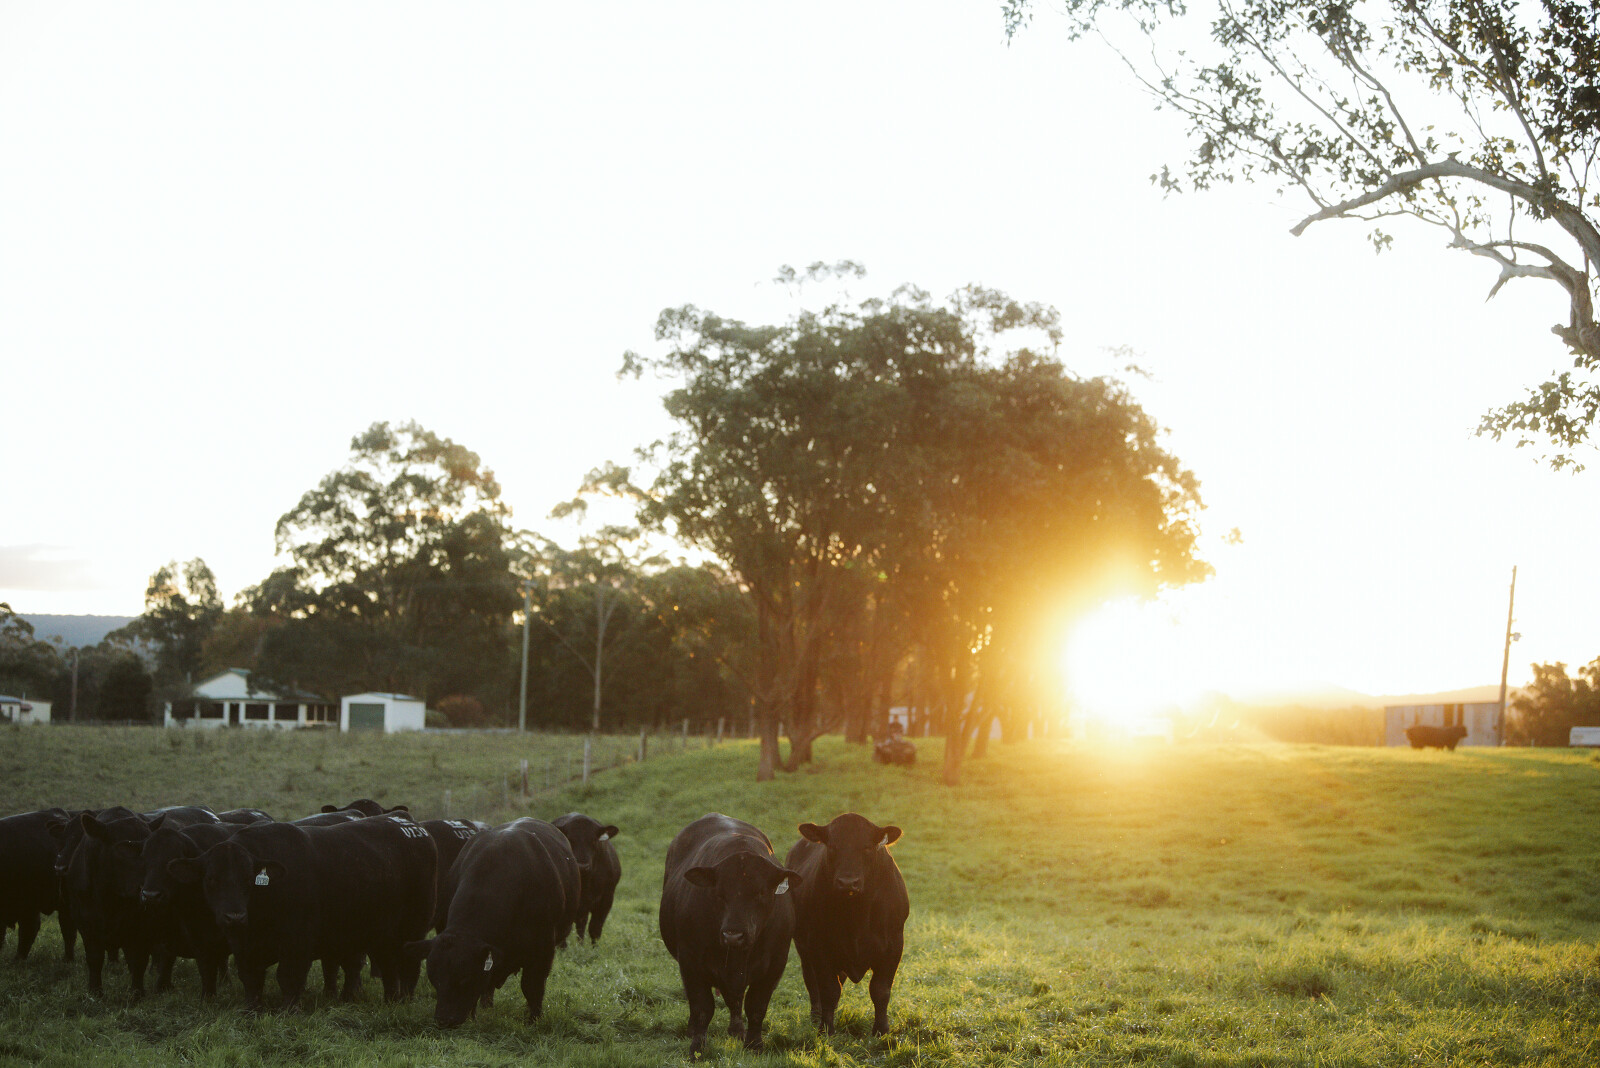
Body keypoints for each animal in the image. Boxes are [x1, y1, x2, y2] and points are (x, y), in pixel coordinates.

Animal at [168, 813, 436, 1010]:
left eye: (247, 879)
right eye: (211, 879)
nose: (234, 917)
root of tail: (407, 823)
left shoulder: (297, 942)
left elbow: (288, 977)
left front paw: (288, 1010)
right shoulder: (243, 946)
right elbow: (250, 978)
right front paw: (251, 1009)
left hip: (413, 929)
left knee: (407, 967)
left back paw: (404, 1000)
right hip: (378, 935)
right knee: (385, 966)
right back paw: (385, 1000)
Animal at [404, 817, 580, 1028]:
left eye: (465, 978)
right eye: (435, 979)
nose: (444, 1020)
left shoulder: (543, 949)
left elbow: (532, 987)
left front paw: (533, 1020)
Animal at [659, 813, 800, 1055]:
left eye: (760, 892)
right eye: (719, 892)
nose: (733, 935)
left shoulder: (775, 965)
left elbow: (756, 1006)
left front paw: (754, 1045)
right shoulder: (690, 962)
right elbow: (702, 1007)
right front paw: (697, 1048)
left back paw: (737, 1030)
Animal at [785, 813, 909, 1037]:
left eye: (867, 847)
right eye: (833, 846)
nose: (847, 882)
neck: (856, 915)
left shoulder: (894, 945)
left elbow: (880, 989)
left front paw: (881, 1030)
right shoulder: (819, 946)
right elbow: (828, 989)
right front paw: (826, 1029)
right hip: (804, 948)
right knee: (812, 983)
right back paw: (816, 1017)